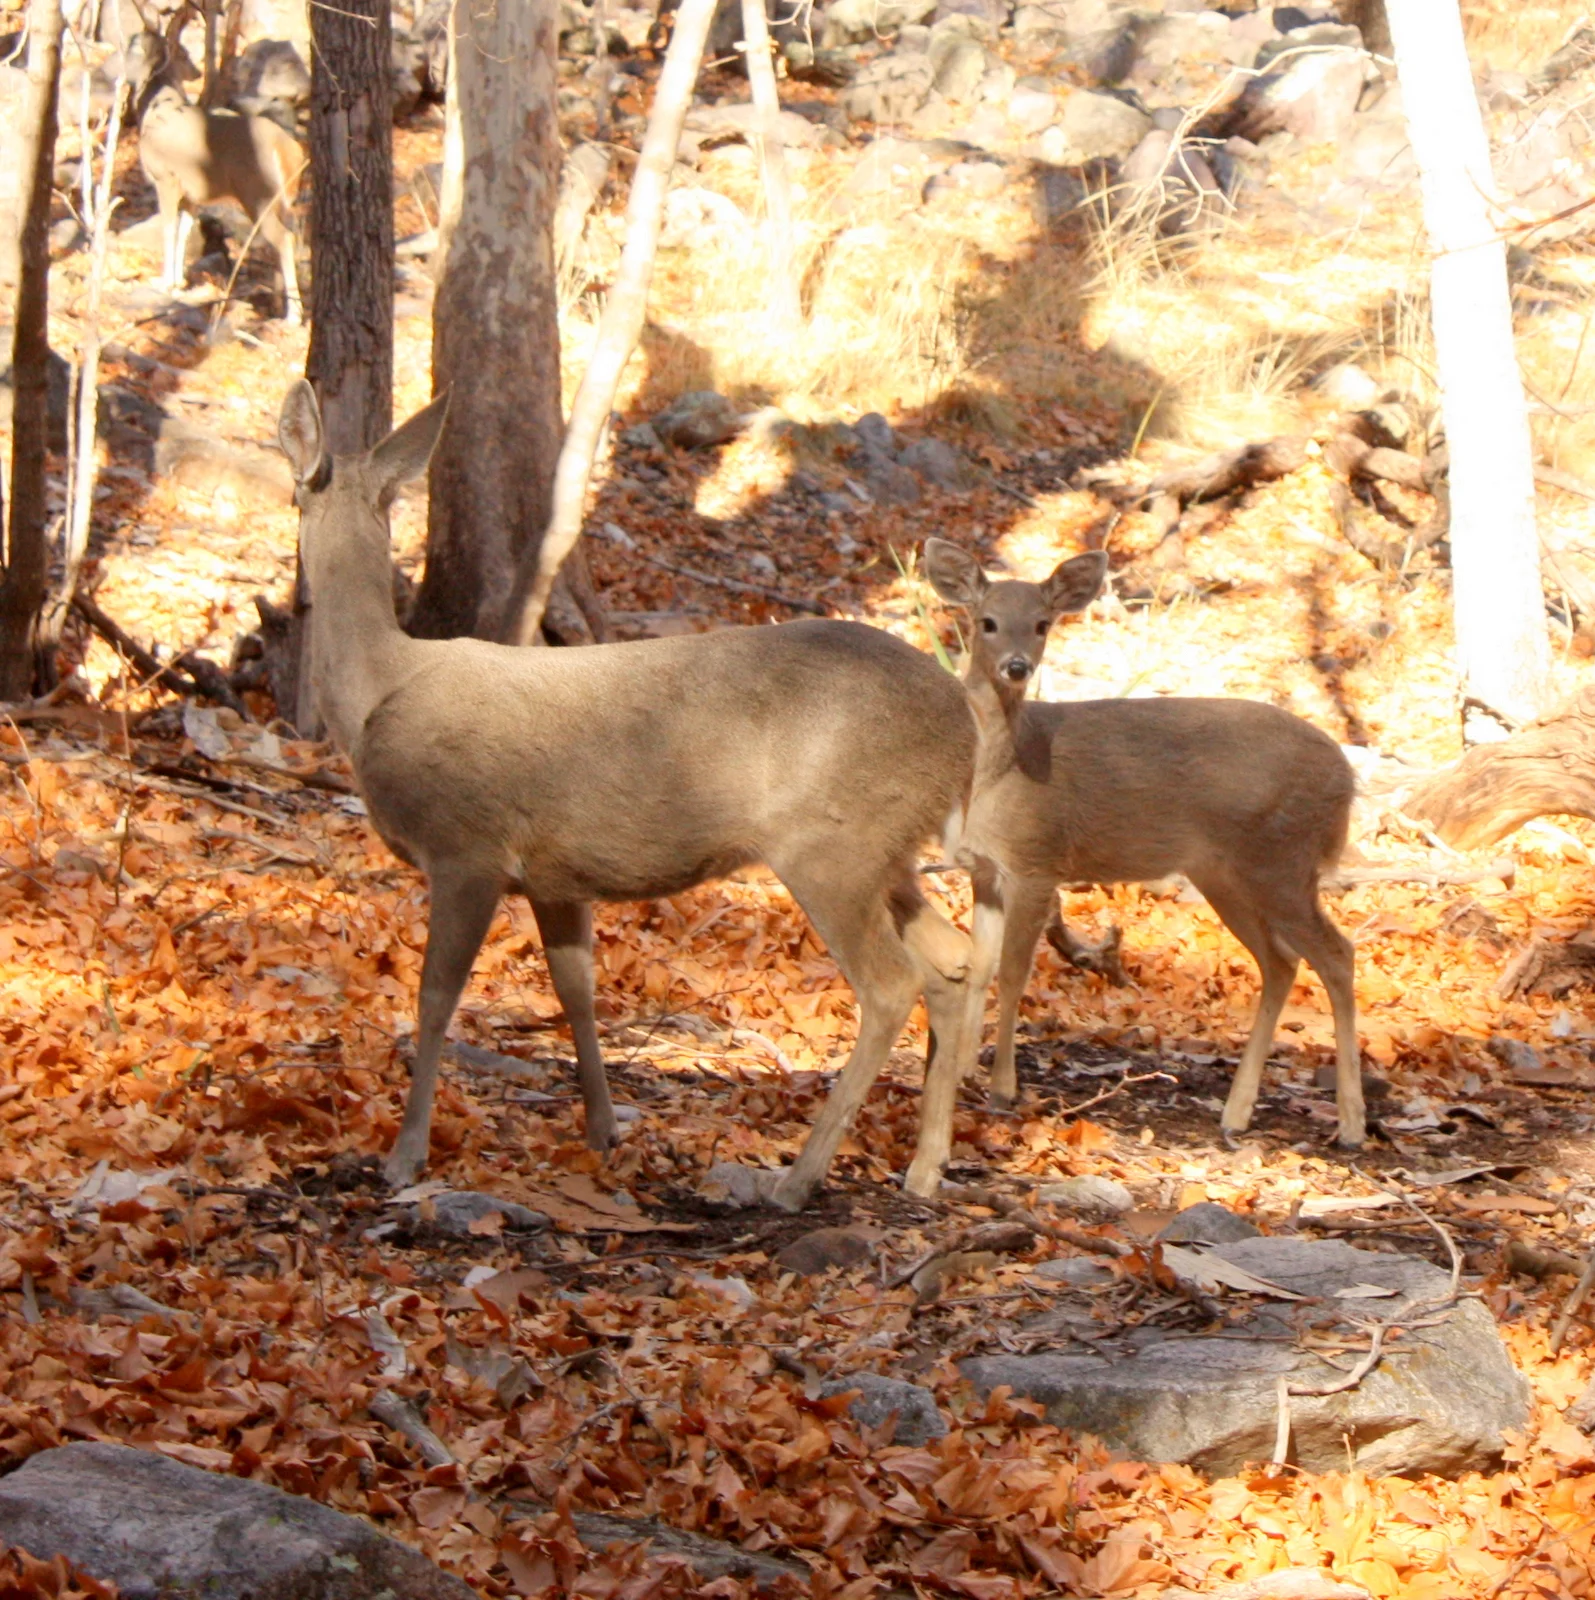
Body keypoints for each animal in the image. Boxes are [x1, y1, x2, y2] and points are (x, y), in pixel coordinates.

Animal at [125, 22, 304, 324]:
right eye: (185, 54)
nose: (196, 72)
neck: (158, 108)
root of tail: (285, 146)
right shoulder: (193, 195)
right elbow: (185, 232)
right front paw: (177, 283)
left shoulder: (166, 178)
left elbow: (168, 228)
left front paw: (163, 283)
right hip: (283, 199)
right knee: (290, 235)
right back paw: (279, 304)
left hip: (258, 193)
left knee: (283, 238)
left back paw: (294, 316)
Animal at [276, 382, 994, 1209]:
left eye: (291, 491)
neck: (378, 689)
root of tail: (966, 728)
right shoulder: (554, 875)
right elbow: (575, 991)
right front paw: (601, 1129)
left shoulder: (467, 846)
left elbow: (434, 998)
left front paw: (405, 1155)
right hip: (889, 849)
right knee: (952, 959)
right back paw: (925, 1166)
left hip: (832, 845)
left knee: (890, 982)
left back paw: (797, 1179)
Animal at [921, 537, 1364, 1158]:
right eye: (986, 621)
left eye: (1041, 623)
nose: (1017, 666)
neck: (1001, 770)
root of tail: (1348, 779)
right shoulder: (985, 870)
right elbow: (979, 967)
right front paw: (962, 1071)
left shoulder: (1038, 860)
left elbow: (1012, 974)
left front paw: (1002, 1089)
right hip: (1226, 873)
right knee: (1281, 962)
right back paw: (1236, 1114)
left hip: (1283, 861)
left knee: (1338, 954)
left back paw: (1350, 1125)